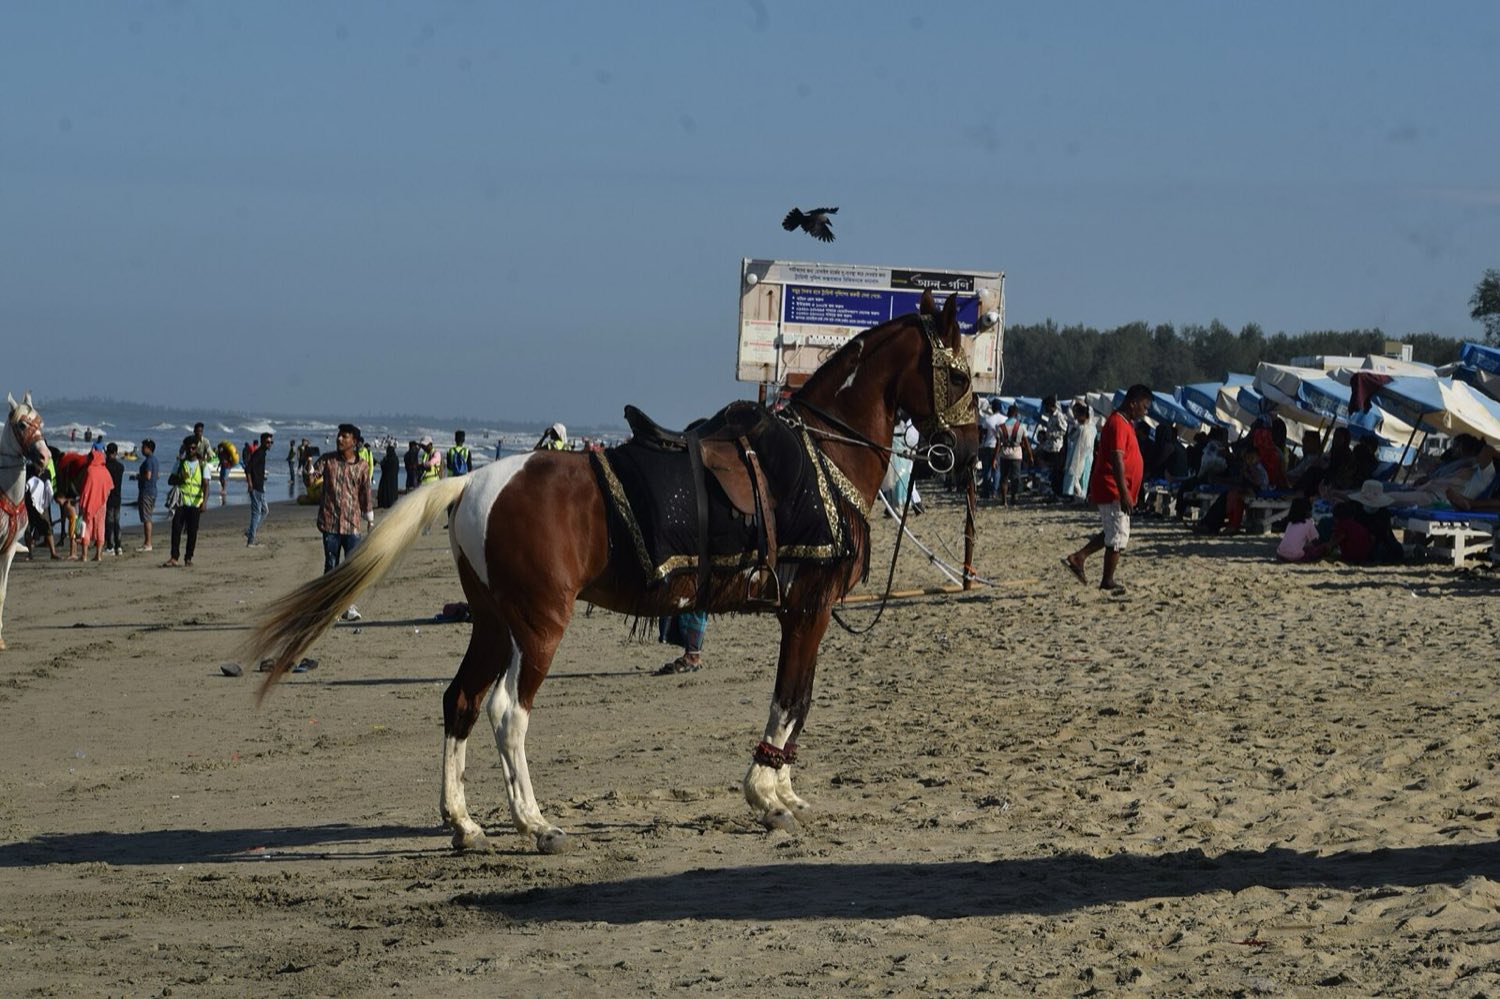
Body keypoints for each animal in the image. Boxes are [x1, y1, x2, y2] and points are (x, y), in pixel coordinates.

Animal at [244, 290, 980, 853]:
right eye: (964, 377)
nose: (969, 448)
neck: (822, 454)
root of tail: (475, 480)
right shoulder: (809, 610)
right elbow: (790, 701)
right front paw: (767, 796)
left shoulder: (805, 615)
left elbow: (797, 702)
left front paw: (785, 791)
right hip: (538, 624)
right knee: (508, 712)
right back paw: (534, 822)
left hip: (492, 623)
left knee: (460, 701)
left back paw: (464, 823)